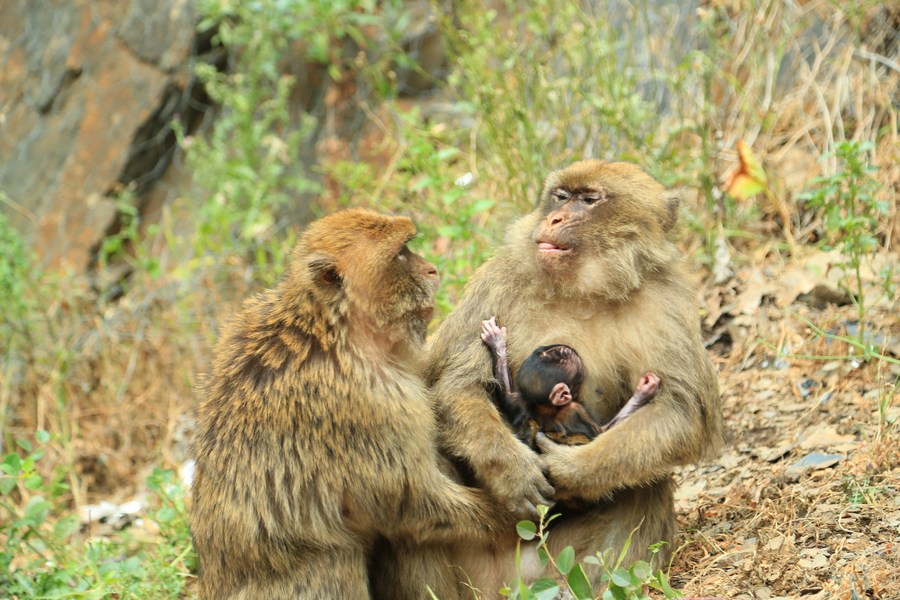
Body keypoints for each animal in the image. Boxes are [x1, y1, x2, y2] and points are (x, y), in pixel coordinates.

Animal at [478, 316, 660, 448]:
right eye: (578, 379)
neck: (544, 407)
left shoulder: (519, 401)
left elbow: (505, 393)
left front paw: (496, 342)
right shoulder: (575, 410)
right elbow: (601, 433)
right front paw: (644, 391)